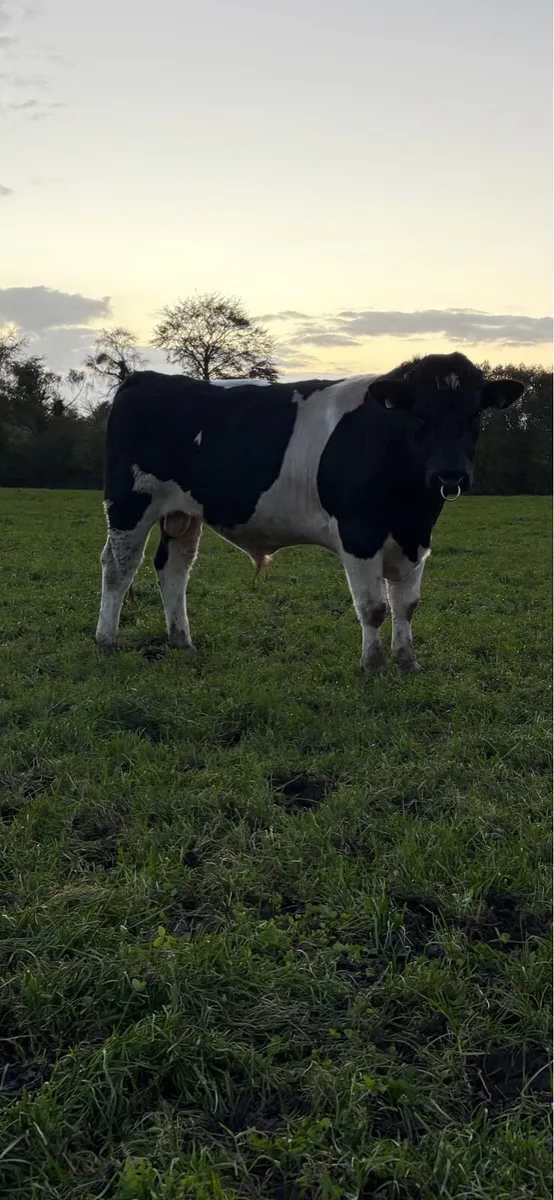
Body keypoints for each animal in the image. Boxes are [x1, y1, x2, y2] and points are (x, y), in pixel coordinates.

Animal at [95, 352, 524, 673]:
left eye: (475, 414)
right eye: (418, 414)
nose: (450, 473)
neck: (410, 507)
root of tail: (147, 378)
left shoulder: (416, 539)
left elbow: (407, 605)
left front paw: (407, 662)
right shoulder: (359, 534)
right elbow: (373, 607)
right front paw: (374, 665)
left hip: (183, 513)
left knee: (174, 569)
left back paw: (182, 642)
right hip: (129, 502)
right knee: (118, 567)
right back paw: (106, 640)